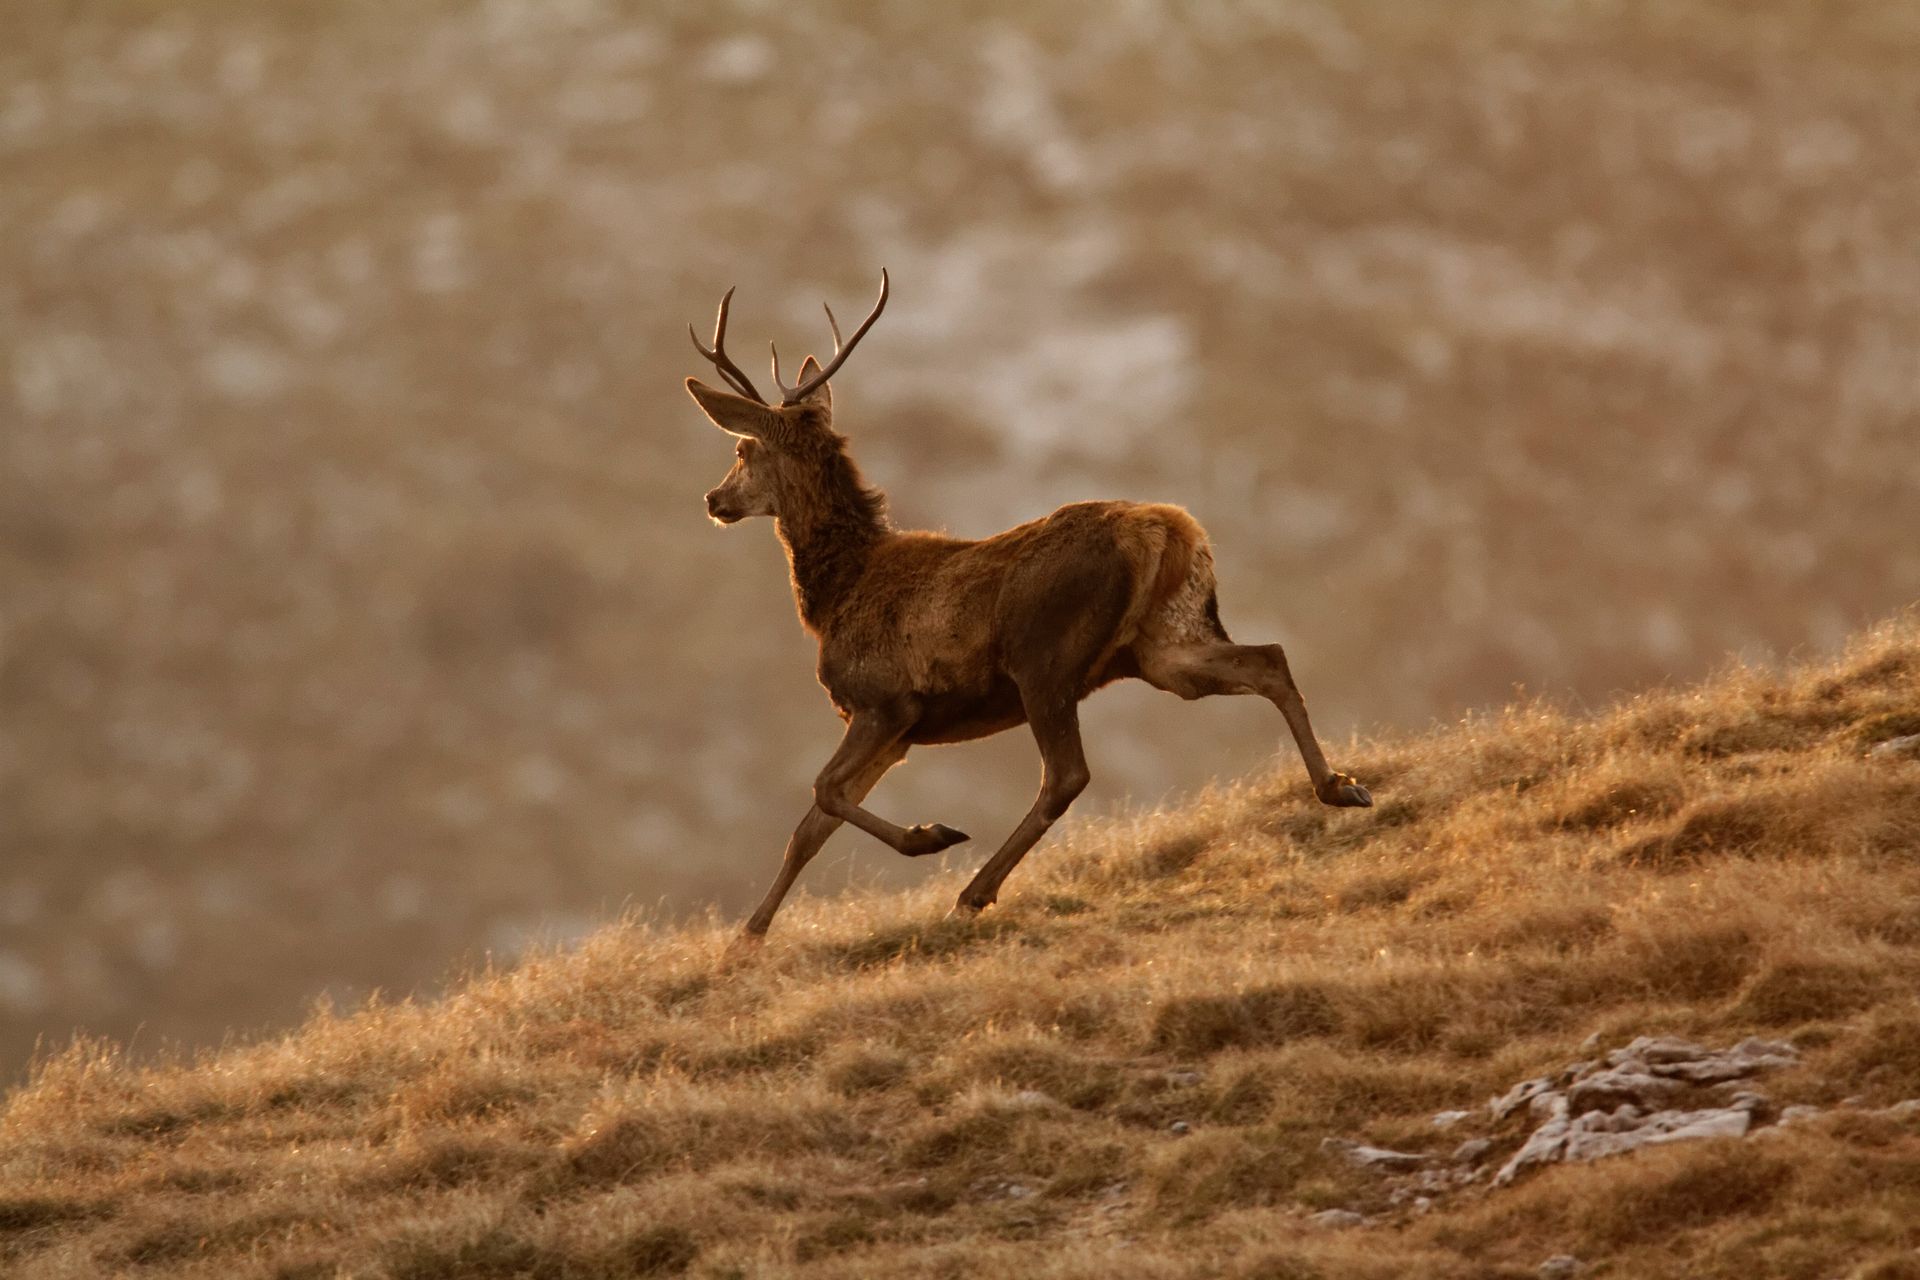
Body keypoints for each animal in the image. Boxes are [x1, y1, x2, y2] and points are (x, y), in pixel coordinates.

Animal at [685, 271, 1373, 937]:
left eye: (742, 450)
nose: (715, 500)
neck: (835, 593)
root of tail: (1165, 528)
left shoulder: (883, 700)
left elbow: (824, 793)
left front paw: (930, 835)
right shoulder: (897, 727)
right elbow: (807, 830)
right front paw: (746, 939)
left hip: (1044, 657)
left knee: (1066, 774)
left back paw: (972, 892)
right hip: (1164, 644)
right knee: (1268, 658)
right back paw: (1341, 787)